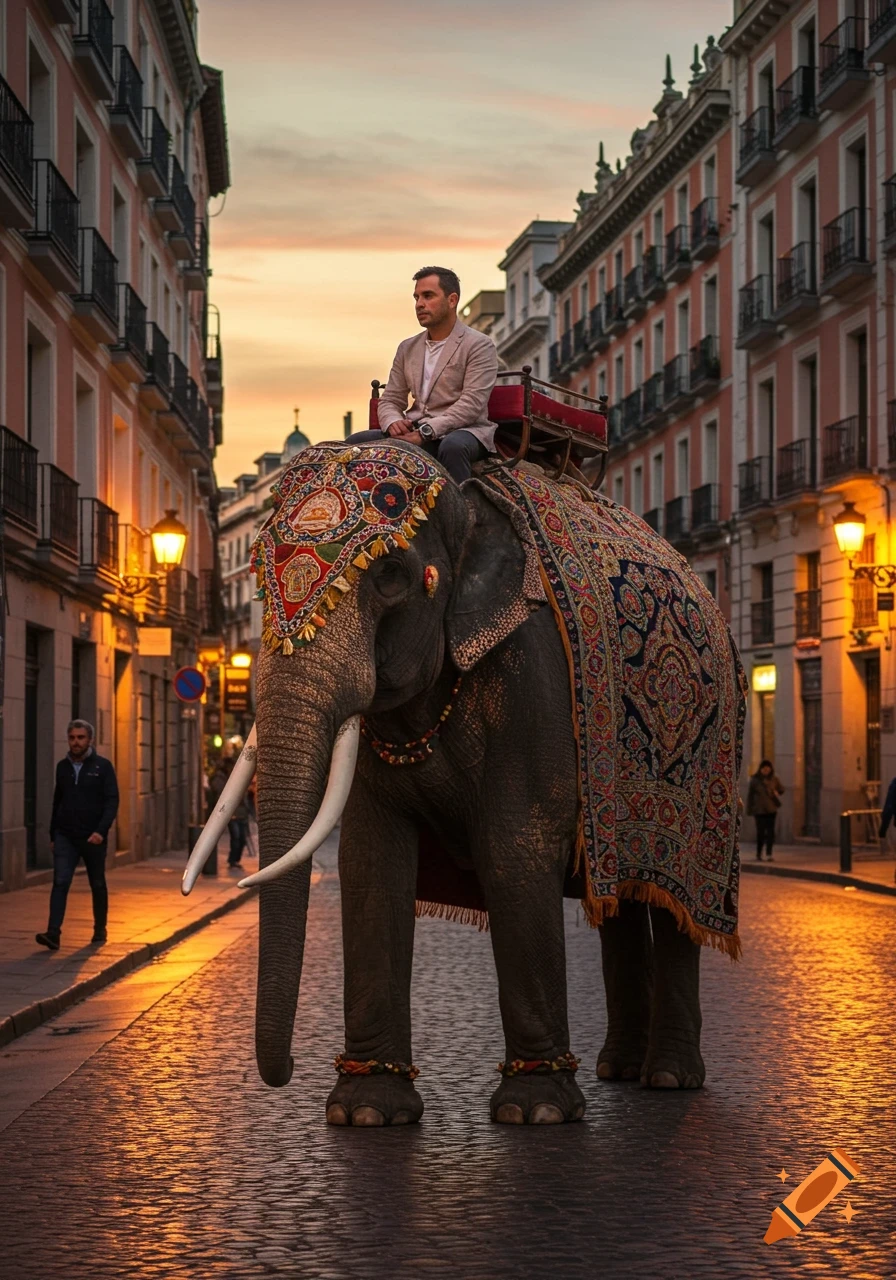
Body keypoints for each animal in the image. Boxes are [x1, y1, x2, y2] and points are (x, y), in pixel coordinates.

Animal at [184, 440, 745, 1127]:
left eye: (390, 575)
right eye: (260, 580)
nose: (284, 1071)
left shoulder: (534, 671)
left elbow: (514, 846)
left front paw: (537, 1111)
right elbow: (371, 859)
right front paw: (366, 1112)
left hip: (704, 768)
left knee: (673, 903)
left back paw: (668, 1077)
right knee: (617, 899)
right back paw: (619, 1069)